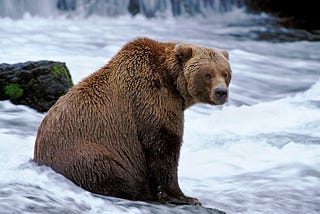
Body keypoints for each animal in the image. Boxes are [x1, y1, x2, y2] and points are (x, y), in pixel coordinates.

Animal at [33, 37, 232, 206]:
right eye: (207, 74)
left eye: (225, 73)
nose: (221, 92)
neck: (172, 83)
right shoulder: (150, 100)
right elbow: (164, 147)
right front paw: (186, 197)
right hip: (87, 153)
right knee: (113, 174)